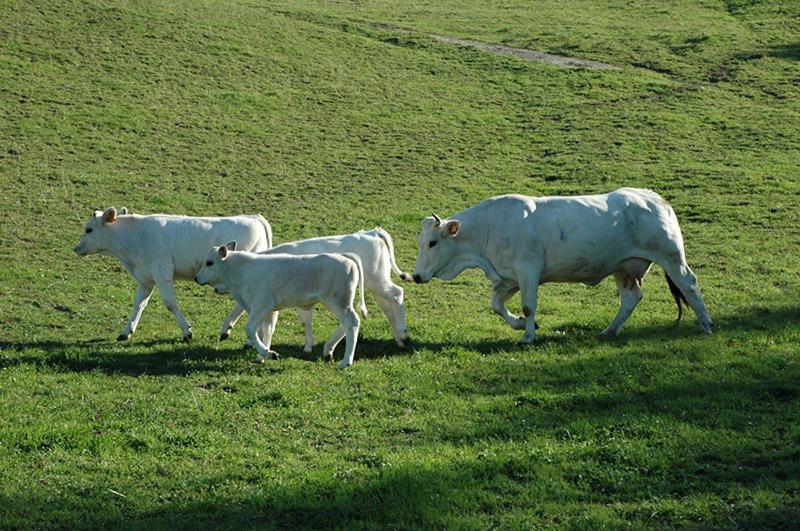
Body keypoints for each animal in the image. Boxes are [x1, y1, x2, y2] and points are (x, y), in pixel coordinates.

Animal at [76, 208, 274, 340]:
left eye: (89, 229)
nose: (76, 248)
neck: (137, 235)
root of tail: (254, 217)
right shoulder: (146, 279)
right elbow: (139, 304)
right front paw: (126, 332)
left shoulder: (162, 272)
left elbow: (170, 303)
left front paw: (187, 332)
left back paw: (227, 328)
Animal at [216, 228, 410, 350]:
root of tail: (372, 233)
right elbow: (305, 320)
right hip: (375, 284)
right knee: (387, 307)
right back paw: (399, 339)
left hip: (376, 282)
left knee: (397, 294)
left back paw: (403, 334)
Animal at [412, 187, 712, 344]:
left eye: (432, 243)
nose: (415, 276)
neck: (488, 229)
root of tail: (656, 199)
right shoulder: (508, 278)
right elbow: (497, 305)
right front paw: (520, 325)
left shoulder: (528, 270)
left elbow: (528, 305)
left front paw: (528, 336)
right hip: (624, 267)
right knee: (631, 297)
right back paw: (609, 330)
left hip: (670, 256)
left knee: (690, 284)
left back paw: (706, 324)